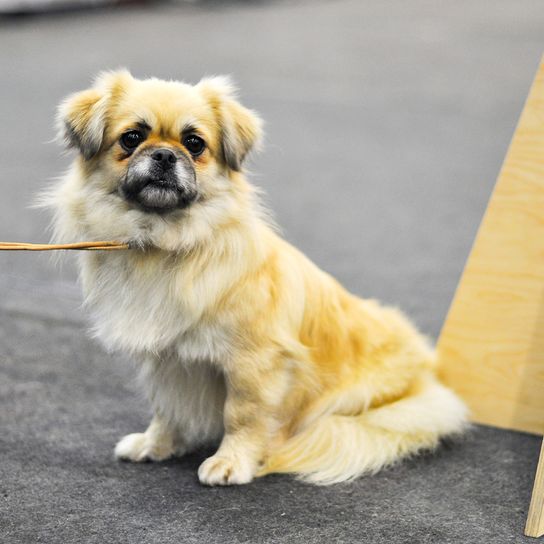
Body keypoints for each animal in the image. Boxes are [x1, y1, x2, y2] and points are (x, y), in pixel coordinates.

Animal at [45, 71, 468, 484]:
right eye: (131, 138)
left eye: (194, 144)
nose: (164, 154)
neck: (164, 242)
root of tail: (429, 378)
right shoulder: (166, 361)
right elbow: (167, 408)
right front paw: (156, 445)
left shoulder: (254, 363)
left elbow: (243, 415)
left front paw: (231, 463)